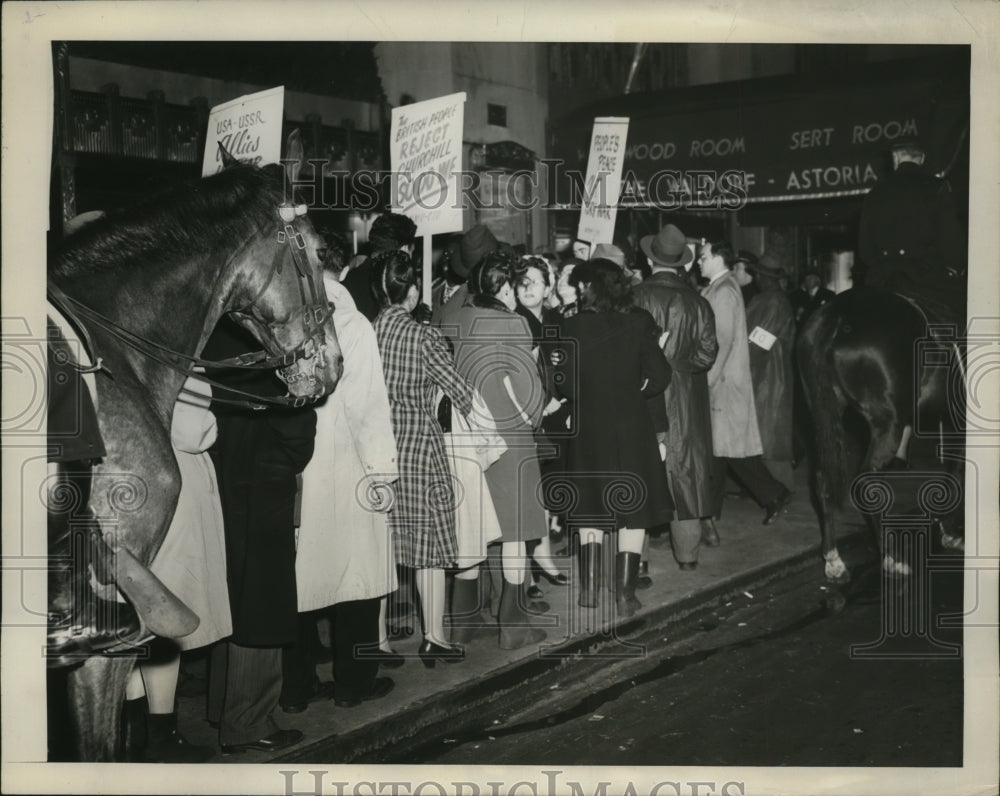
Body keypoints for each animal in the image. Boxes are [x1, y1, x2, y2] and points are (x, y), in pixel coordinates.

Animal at [792, 286, 964, 584]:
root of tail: (840, 312)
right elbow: (956, 475)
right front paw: (950, 531)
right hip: (887, 423)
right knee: (866, 481)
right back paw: (890, 558)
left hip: (826, 414)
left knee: (824, 479)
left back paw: (835, 560)